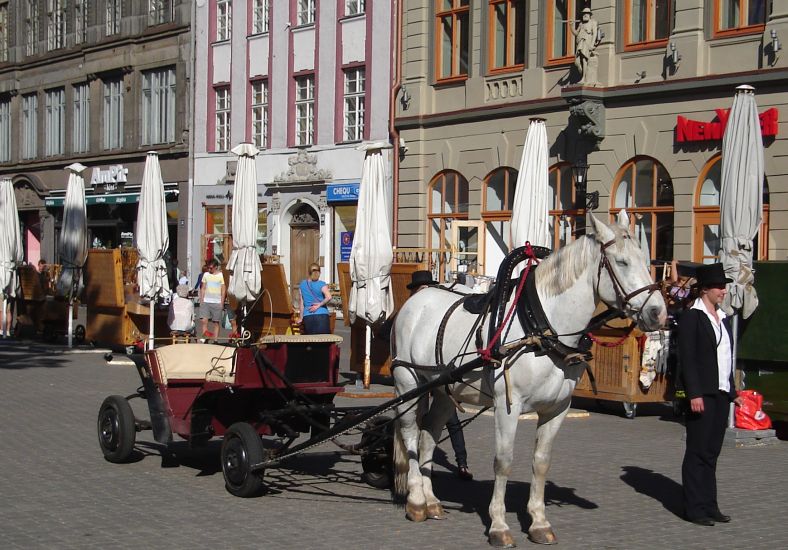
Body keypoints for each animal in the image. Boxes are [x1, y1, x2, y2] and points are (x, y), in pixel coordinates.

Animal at [392, 212, 664, 548]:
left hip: (444, 390)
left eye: (647, 260)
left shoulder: (557, 408)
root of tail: (417, 300)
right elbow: (504, 461)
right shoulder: (508, 406)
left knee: (428, 436)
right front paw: (498, 525)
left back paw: (431, 501)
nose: (658, 312)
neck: (542, 329)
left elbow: (541, 461)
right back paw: (416, 501)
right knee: (410, 435)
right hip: (409, 382)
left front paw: (538, 521)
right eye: (622, 262)